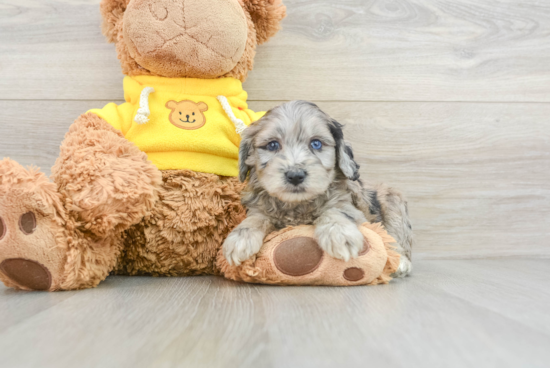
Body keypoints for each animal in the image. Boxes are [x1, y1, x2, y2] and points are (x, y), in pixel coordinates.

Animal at [224, 100, 414, 276]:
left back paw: (401, 262)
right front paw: (239, 239)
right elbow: (256, 219)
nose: (295, 175)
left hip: (392, 203)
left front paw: (339, 234)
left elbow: (335, 211)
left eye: (316, 144)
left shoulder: (352, 207)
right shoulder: (258, 208)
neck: (297, 205)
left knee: (396, 237)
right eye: (272, 145)